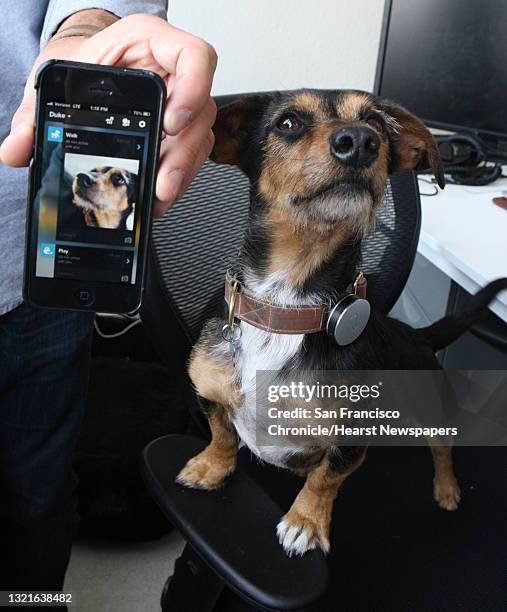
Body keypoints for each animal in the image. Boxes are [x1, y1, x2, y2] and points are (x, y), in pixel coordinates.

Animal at [176, 89, 507, 556]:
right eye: (288, 123)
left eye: (376, 123)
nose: (361, 142)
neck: (288, 305)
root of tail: (415, 334)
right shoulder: (209, 392)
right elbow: (221, 435)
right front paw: (212, 467)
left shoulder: (350, 440)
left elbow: (325, 479)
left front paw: (306, 521)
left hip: (433, 407)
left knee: (443, 448)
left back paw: (446, 489)